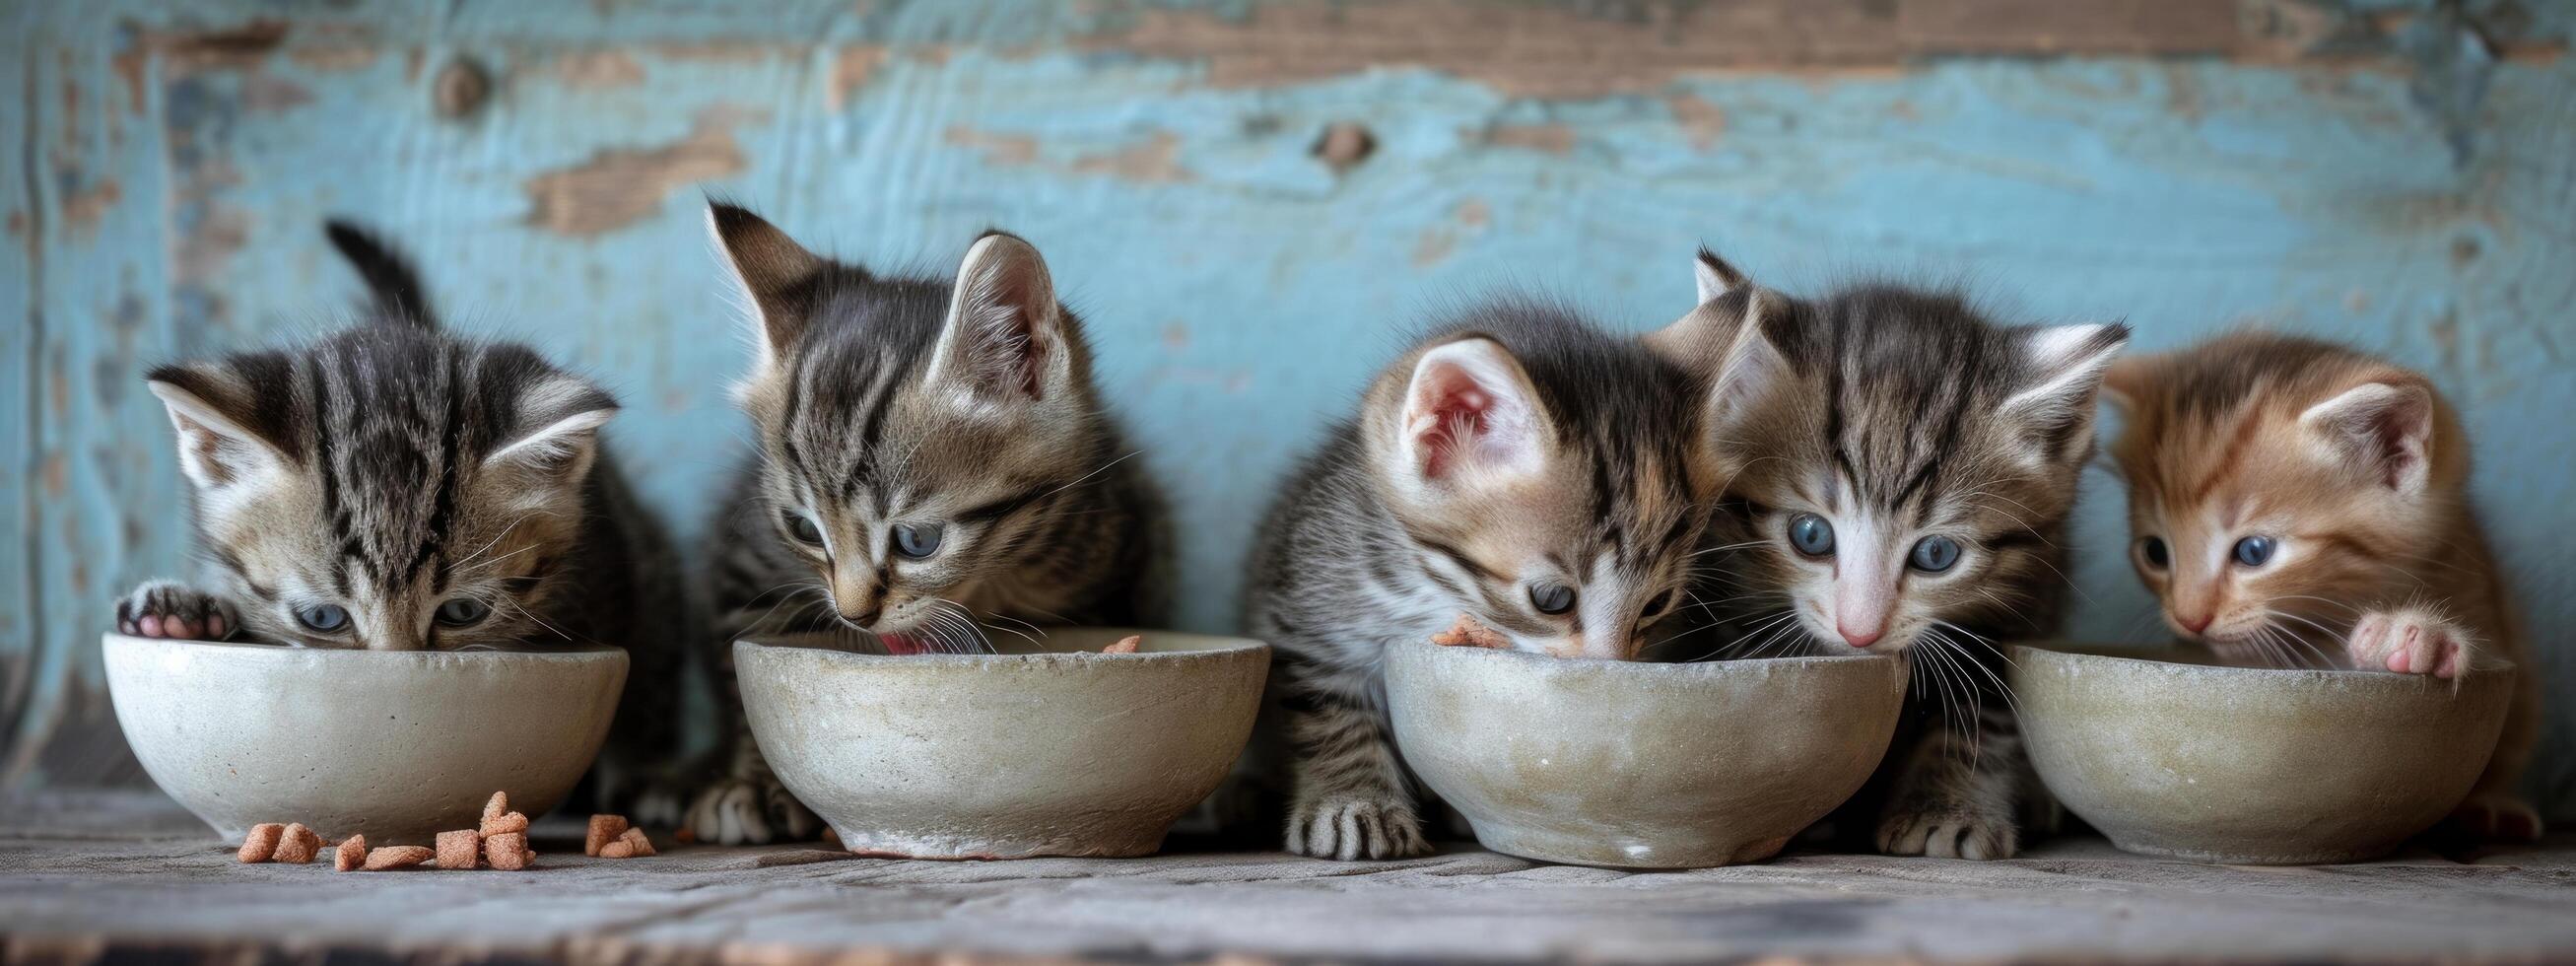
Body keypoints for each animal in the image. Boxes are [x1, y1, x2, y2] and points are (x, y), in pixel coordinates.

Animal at [116, 219, 690, 808]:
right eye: (322, 618)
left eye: (462, 612)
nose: (399, 674)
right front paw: (181, 611)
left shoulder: (616, 564)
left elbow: (642, 676)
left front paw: (645, 772)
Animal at [680, 204, 1174, 845]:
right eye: (806, 530)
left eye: (918, 541)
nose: (853, 615)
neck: (987, 584)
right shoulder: (744, 558)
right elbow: (742, 668)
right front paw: (751, 780)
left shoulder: (1108, 553)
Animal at [1241, 303, 1721, 860]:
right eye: (1551, 599)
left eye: (1656, 604)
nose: (1608, 668)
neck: (1436, 592)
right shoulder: (1308, 613)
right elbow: (1328, 713)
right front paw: (1353, 804)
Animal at [1648, 249, 2133, 860]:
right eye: (1811, 535)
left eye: (1936, 553)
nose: (1860, 633)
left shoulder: (2025, 600)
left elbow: (1981, 717)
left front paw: (1947, 808)